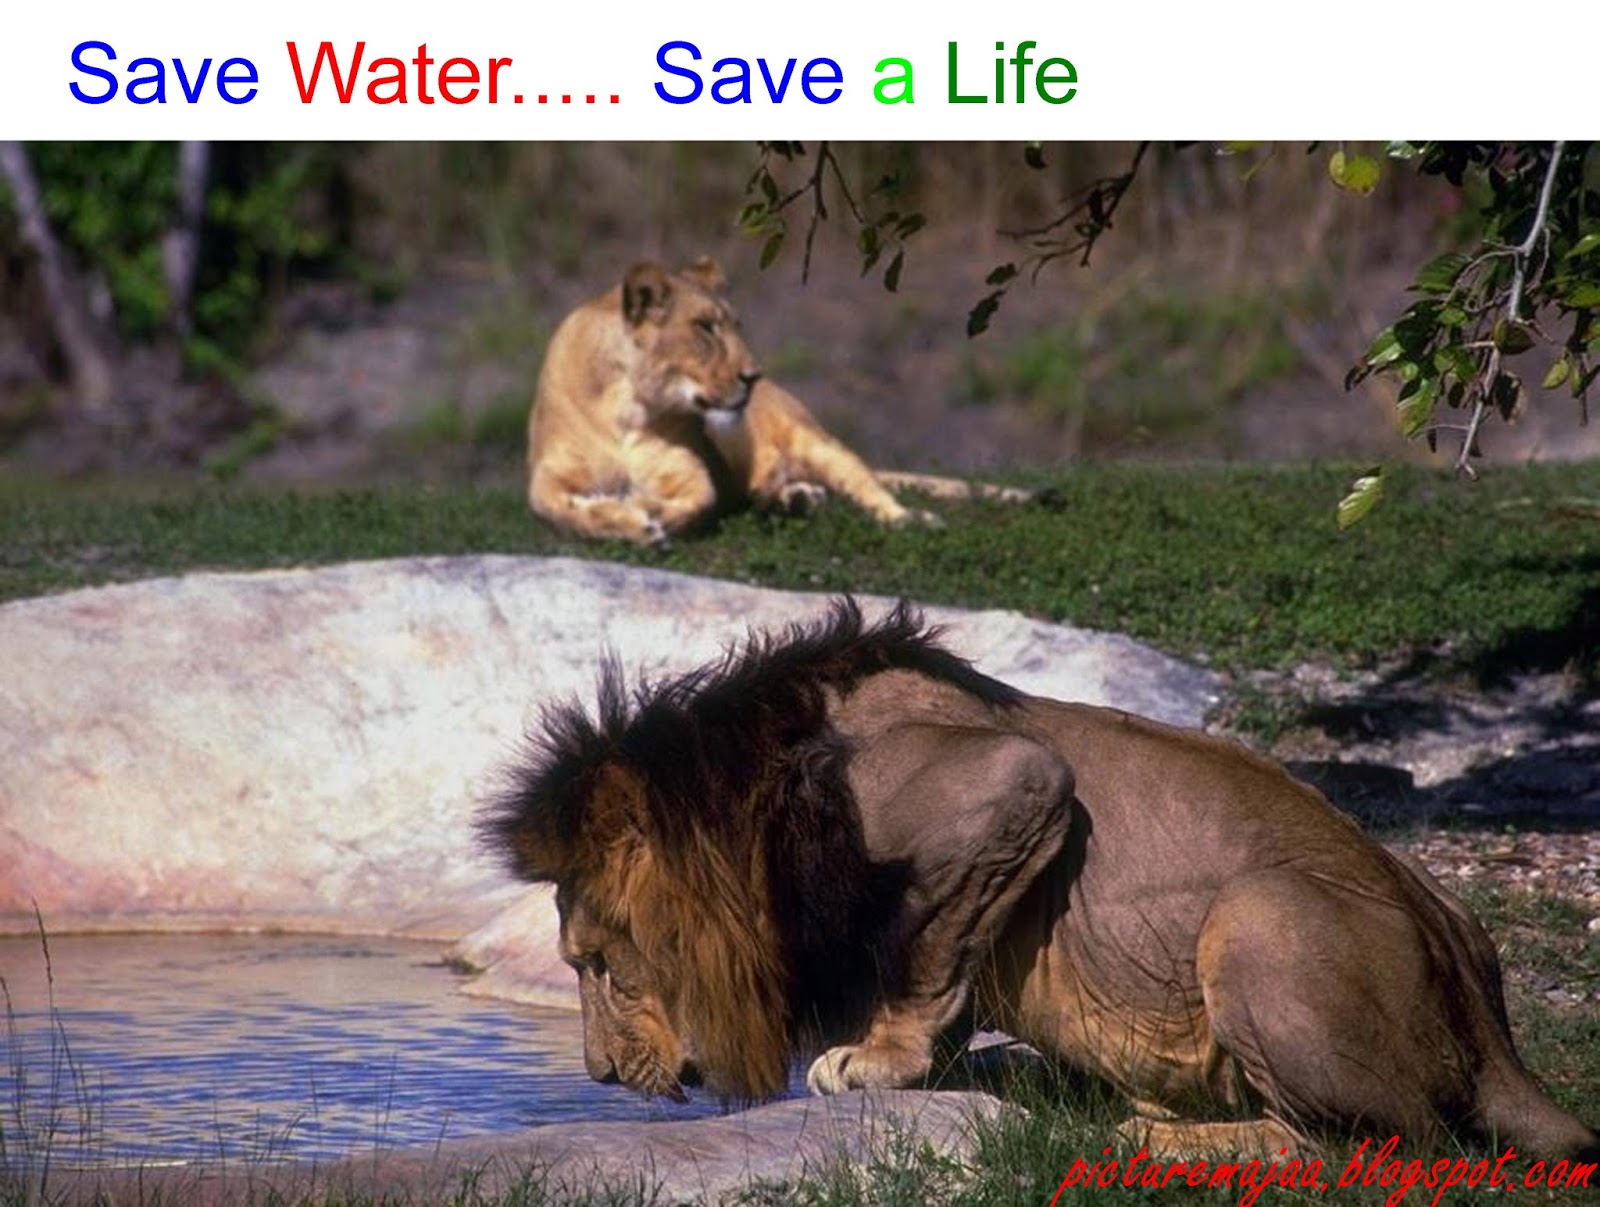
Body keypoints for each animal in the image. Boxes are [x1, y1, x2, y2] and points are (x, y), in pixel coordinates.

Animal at [479, 600, 1599, 1163]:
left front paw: (873, 1061)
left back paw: (1163, 1137)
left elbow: (923, 953)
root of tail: (1491, 1029)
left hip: (1259, 913)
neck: (758, 802)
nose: (598, 1076)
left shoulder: (1010, 782)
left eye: (596, 962)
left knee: (1370, 1148)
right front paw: (940, 1065)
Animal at [525, 257, 1030, 545]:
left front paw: (642, 510)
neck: (627, 409)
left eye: (737, 326)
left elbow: (692, 502)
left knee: (872, 490)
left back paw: (908, 519)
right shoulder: (547, 477)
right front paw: (616, 516)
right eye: (706, 328)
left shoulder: (694, 477)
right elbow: (552, 508)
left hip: (817, 442)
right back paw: (798, 499)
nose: (754, 376)